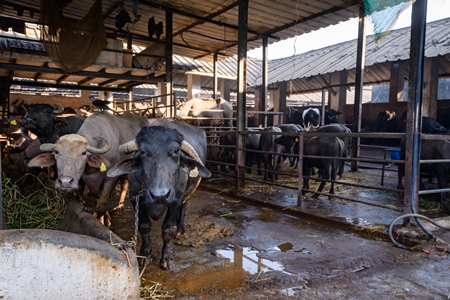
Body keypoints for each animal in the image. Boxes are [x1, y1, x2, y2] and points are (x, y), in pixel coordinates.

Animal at [107, 118, 211, 270]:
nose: (159, 195)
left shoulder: (176, 199)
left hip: (188, 194)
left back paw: (181, 230)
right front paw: (145, 255)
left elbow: (168, 229)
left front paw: (167, 258)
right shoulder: (135, 197)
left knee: (184, 207)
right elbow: (144, 226)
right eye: (143, 152)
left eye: (176, 151)